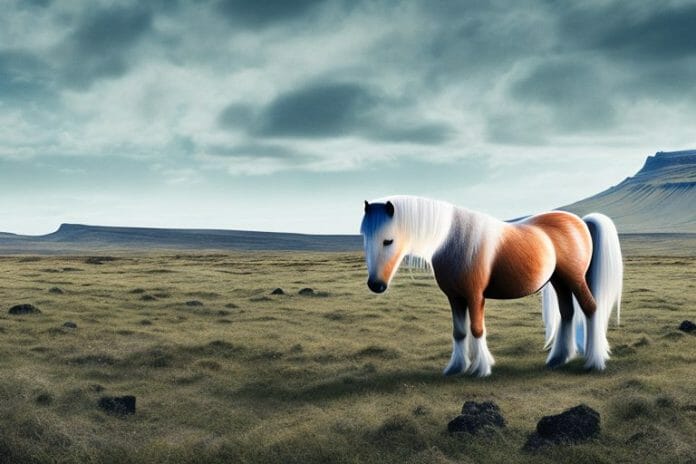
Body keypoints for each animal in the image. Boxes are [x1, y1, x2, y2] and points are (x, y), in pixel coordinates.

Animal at [360, 195, 623, 377]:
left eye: (388, 240)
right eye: (365, 238)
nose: (376, 285)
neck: (454, 242)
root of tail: (582, 221)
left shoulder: (475, 296)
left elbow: (477, 329)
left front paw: (481, 368)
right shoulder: (455, 298)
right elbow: (459, 332)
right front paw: (456, 367)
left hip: (575, 279)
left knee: (590, 308)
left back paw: (594, 362)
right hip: (559, 281)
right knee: (567, 313)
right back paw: (558, 359)